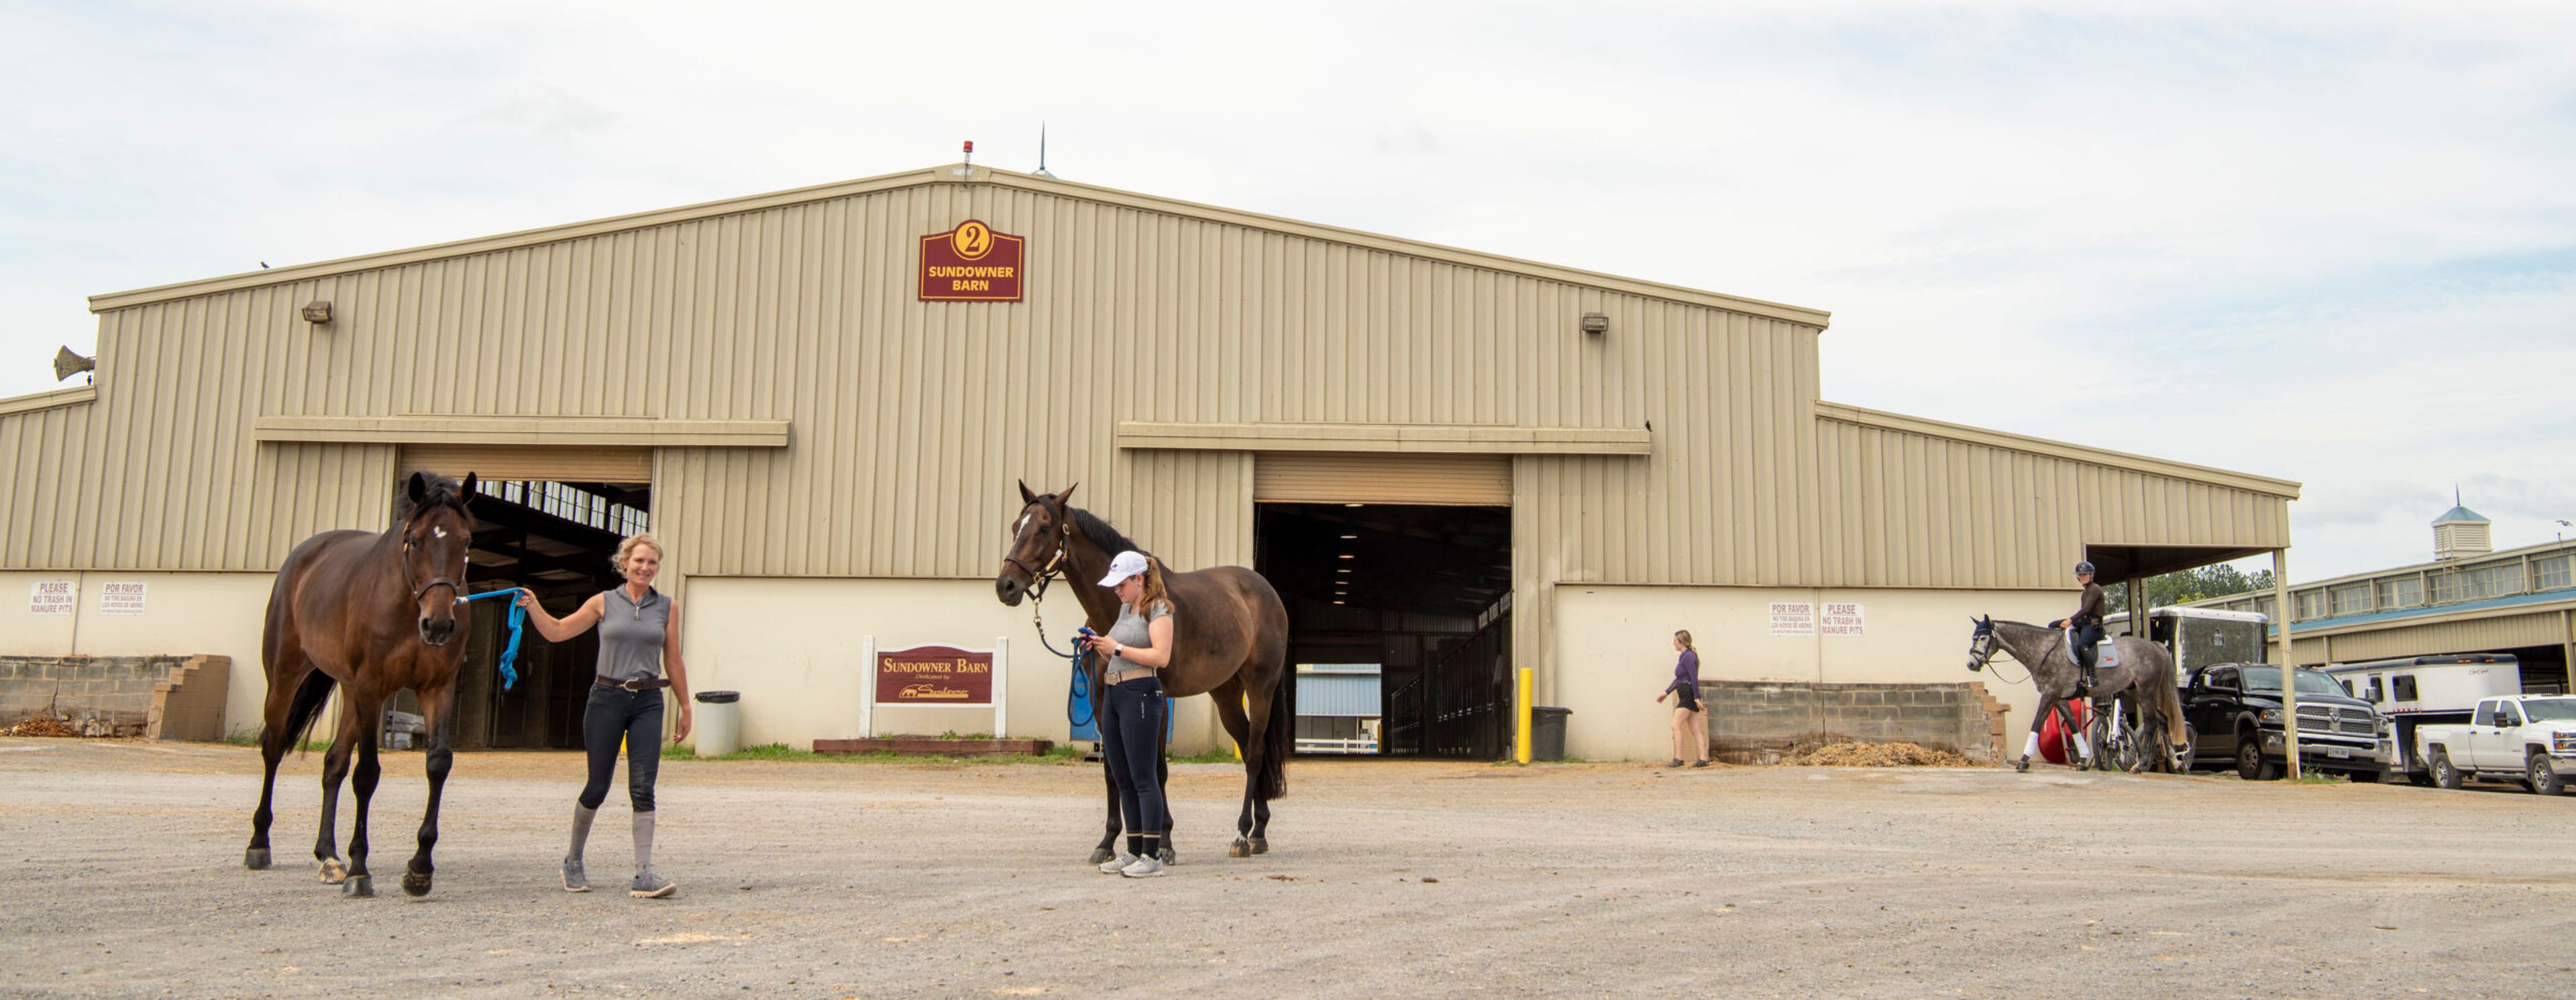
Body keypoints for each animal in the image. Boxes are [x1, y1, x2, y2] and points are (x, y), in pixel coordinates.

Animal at [243, 471, 479, 898]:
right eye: (414, 539)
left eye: (465, 541)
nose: (437, 626)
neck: (406, 604)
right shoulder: (372, 688)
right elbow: (367, 772)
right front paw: (360, 870)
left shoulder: (437, 688)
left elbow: (438, 764)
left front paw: (419, 869)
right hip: (286, 677)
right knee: (273, 748)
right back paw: (259, 844)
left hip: (349, 690)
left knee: (333, 763)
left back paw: (328, 855)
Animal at [994, 482, 1293, 862]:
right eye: (1015, 527)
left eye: (1044, 528)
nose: (1006, 586)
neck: (1119, 614)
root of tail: (1266, 592)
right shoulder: (1102, 701)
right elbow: (1112, 769)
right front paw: (1108, 842)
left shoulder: (1158, 699)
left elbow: (1158, 769)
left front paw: (1163, 842)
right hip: (1225, 693)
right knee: (1247, 745)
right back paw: (1259, 831)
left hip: (1260, 688)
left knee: (1254, 754)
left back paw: (1242, 835)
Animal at [1964, 615, 2188, 774]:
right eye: (1974, 637)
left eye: (1983, 638)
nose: (1972, 664)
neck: (2043, 650)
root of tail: (2156, 646)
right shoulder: (2060, 698)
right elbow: (2072, 724)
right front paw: (2082, 760)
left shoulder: (2050, 694)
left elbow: (2037, 723)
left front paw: (2023, 761)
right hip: (2133, 690)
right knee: (2162, 720)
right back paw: (2177, 762)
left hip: (2146, 691)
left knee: (2151, 723)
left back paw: (2141, 765)